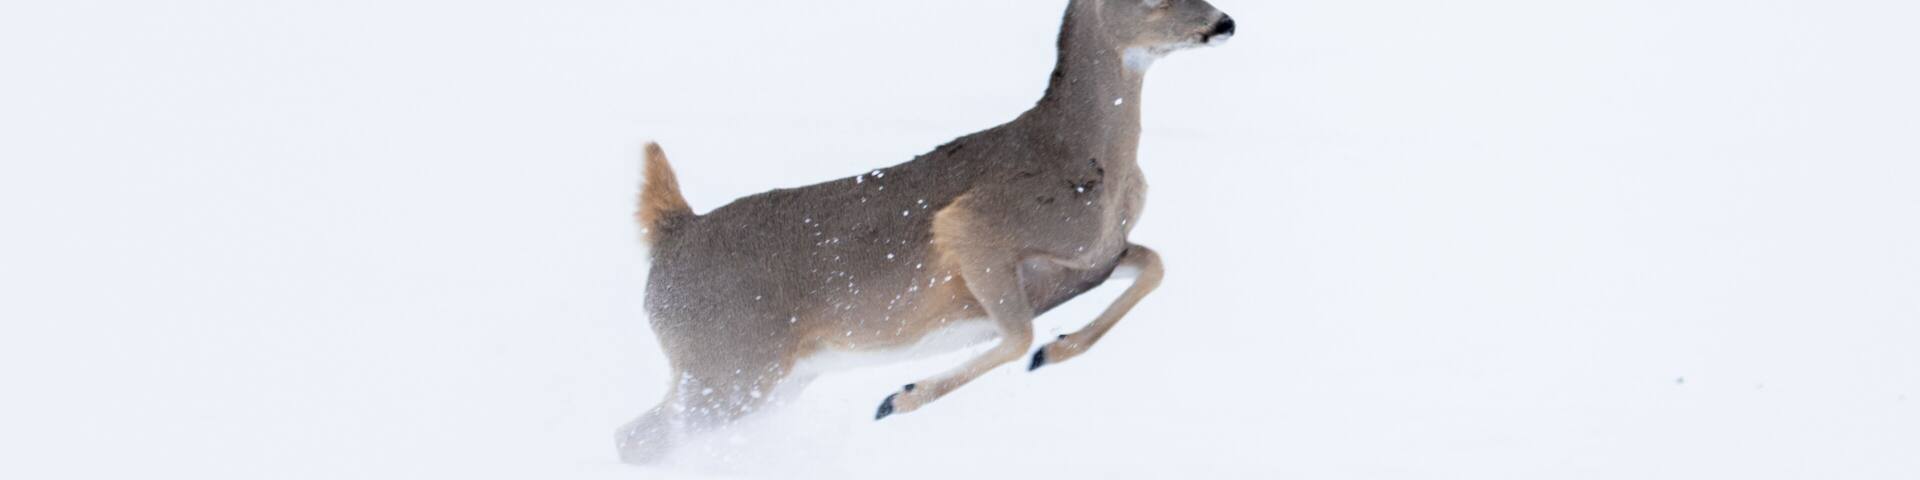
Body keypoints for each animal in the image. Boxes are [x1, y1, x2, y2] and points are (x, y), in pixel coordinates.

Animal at [618, 0, 1235, 464]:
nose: (1225, 22)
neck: (1085, 161)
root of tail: (673, 233)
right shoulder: (976, 226)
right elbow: (1017, 334)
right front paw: (900, 397)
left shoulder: (1093, 261)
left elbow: (1153, 265)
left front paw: (1056, 349)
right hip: (728, 365)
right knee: (634, 440)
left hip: (765, 379)